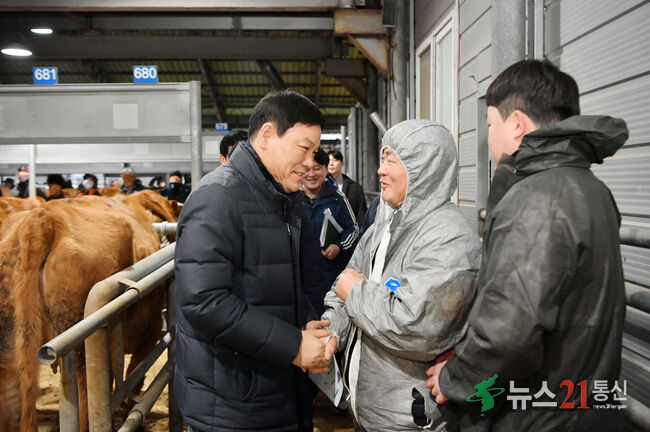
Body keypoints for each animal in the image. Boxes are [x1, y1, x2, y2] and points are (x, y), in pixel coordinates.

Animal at [0, 192, 177, 432]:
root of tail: (43, 221)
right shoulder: (149, 332)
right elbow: (134, 374)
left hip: (9, 344)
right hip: (82, 344)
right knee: (86, 394)